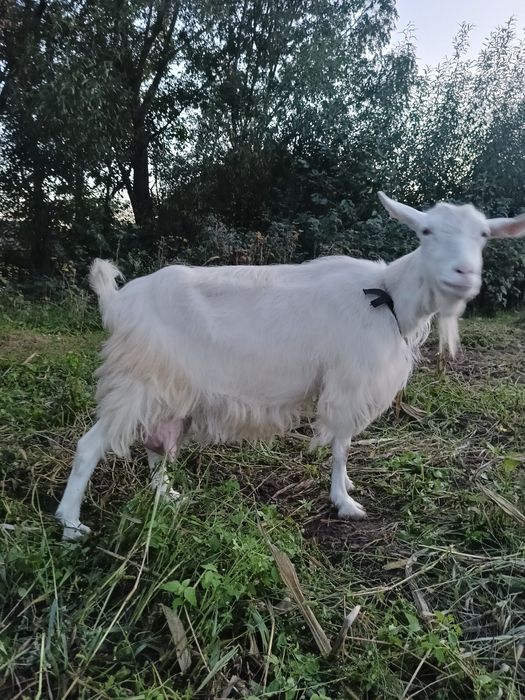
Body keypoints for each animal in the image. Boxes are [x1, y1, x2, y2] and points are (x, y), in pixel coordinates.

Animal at [55, 193, 525, 539]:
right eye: (426, 231)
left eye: (484, 235)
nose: (463, 273)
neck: (386, 296)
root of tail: (118, 302)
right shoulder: (348, 380)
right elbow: (341, 444)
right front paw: (344, 501)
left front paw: (345, 490)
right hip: (140, 378)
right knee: (90, 446)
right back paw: (71, 524)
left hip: (171, 386)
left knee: (156, 443)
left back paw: (166, 495)